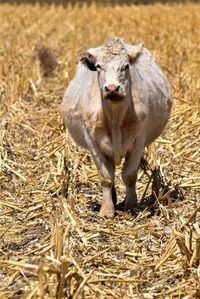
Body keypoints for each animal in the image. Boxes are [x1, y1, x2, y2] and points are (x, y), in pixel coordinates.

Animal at [61, 38, 172, 219]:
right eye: (99, 66)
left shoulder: (138, 140)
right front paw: (107, 210)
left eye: (126, 66)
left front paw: (131, 205)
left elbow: (129, 175)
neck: (115, 119)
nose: (112, 88)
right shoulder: (93, 142)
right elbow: (106, 177)